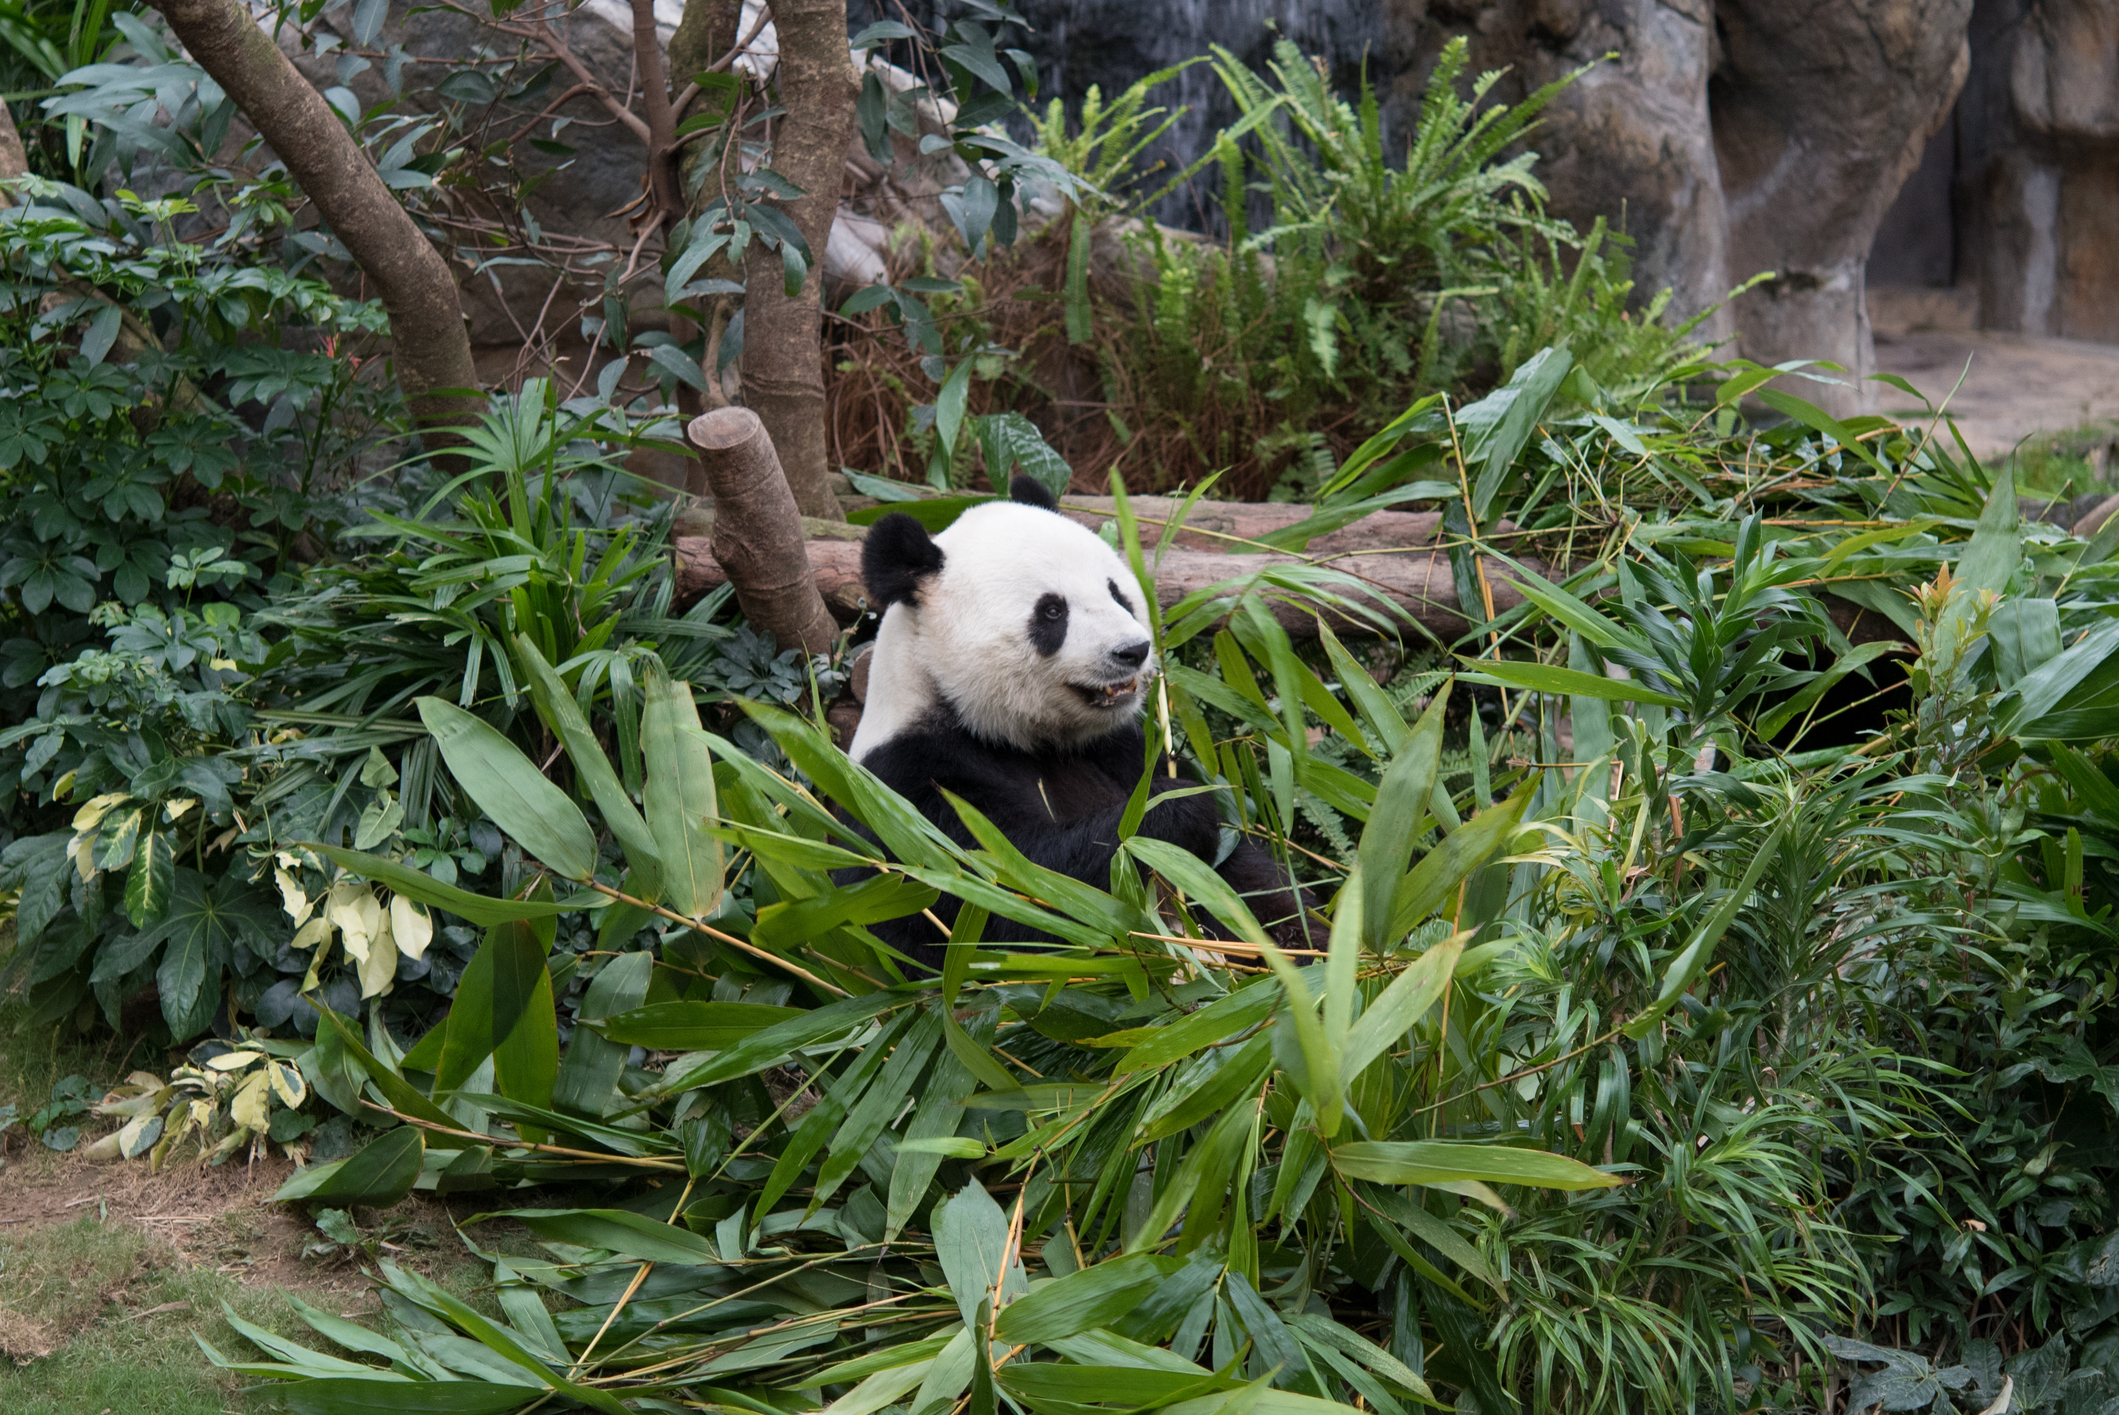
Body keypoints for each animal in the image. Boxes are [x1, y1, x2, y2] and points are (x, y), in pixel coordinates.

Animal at [839, 474, 1305, 974]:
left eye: (1117, 592)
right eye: (1051, 611)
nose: (1133, 650)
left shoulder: (1118, 747)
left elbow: (1249, 884)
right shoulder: (911, 791)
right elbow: (1019, 903)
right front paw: (1181, 812)